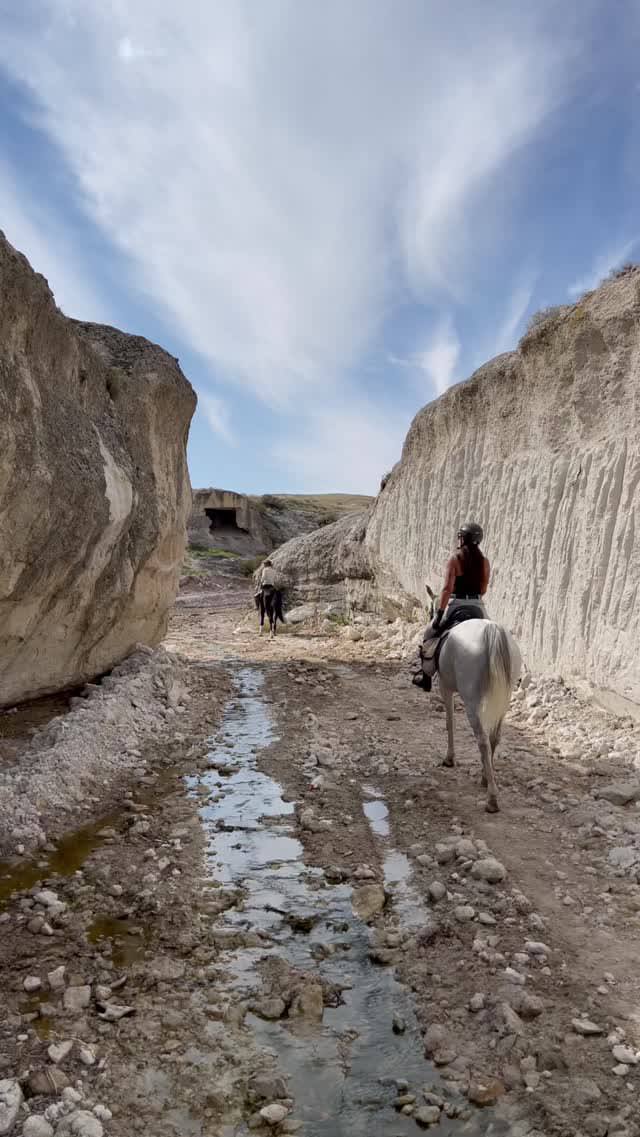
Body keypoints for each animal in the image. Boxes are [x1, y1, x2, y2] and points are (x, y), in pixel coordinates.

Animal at [423, 586, 521, 813]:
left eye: (430, 610)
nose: (432, 619)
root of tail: (492, 631)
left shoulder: (445, 687)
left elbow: (450, 722)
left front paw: (449, 758)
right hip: (504, 701)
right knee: (494, 737)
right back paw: (486, 778)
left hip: (471, 701)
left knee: (483, 740)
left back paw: (492, 798)